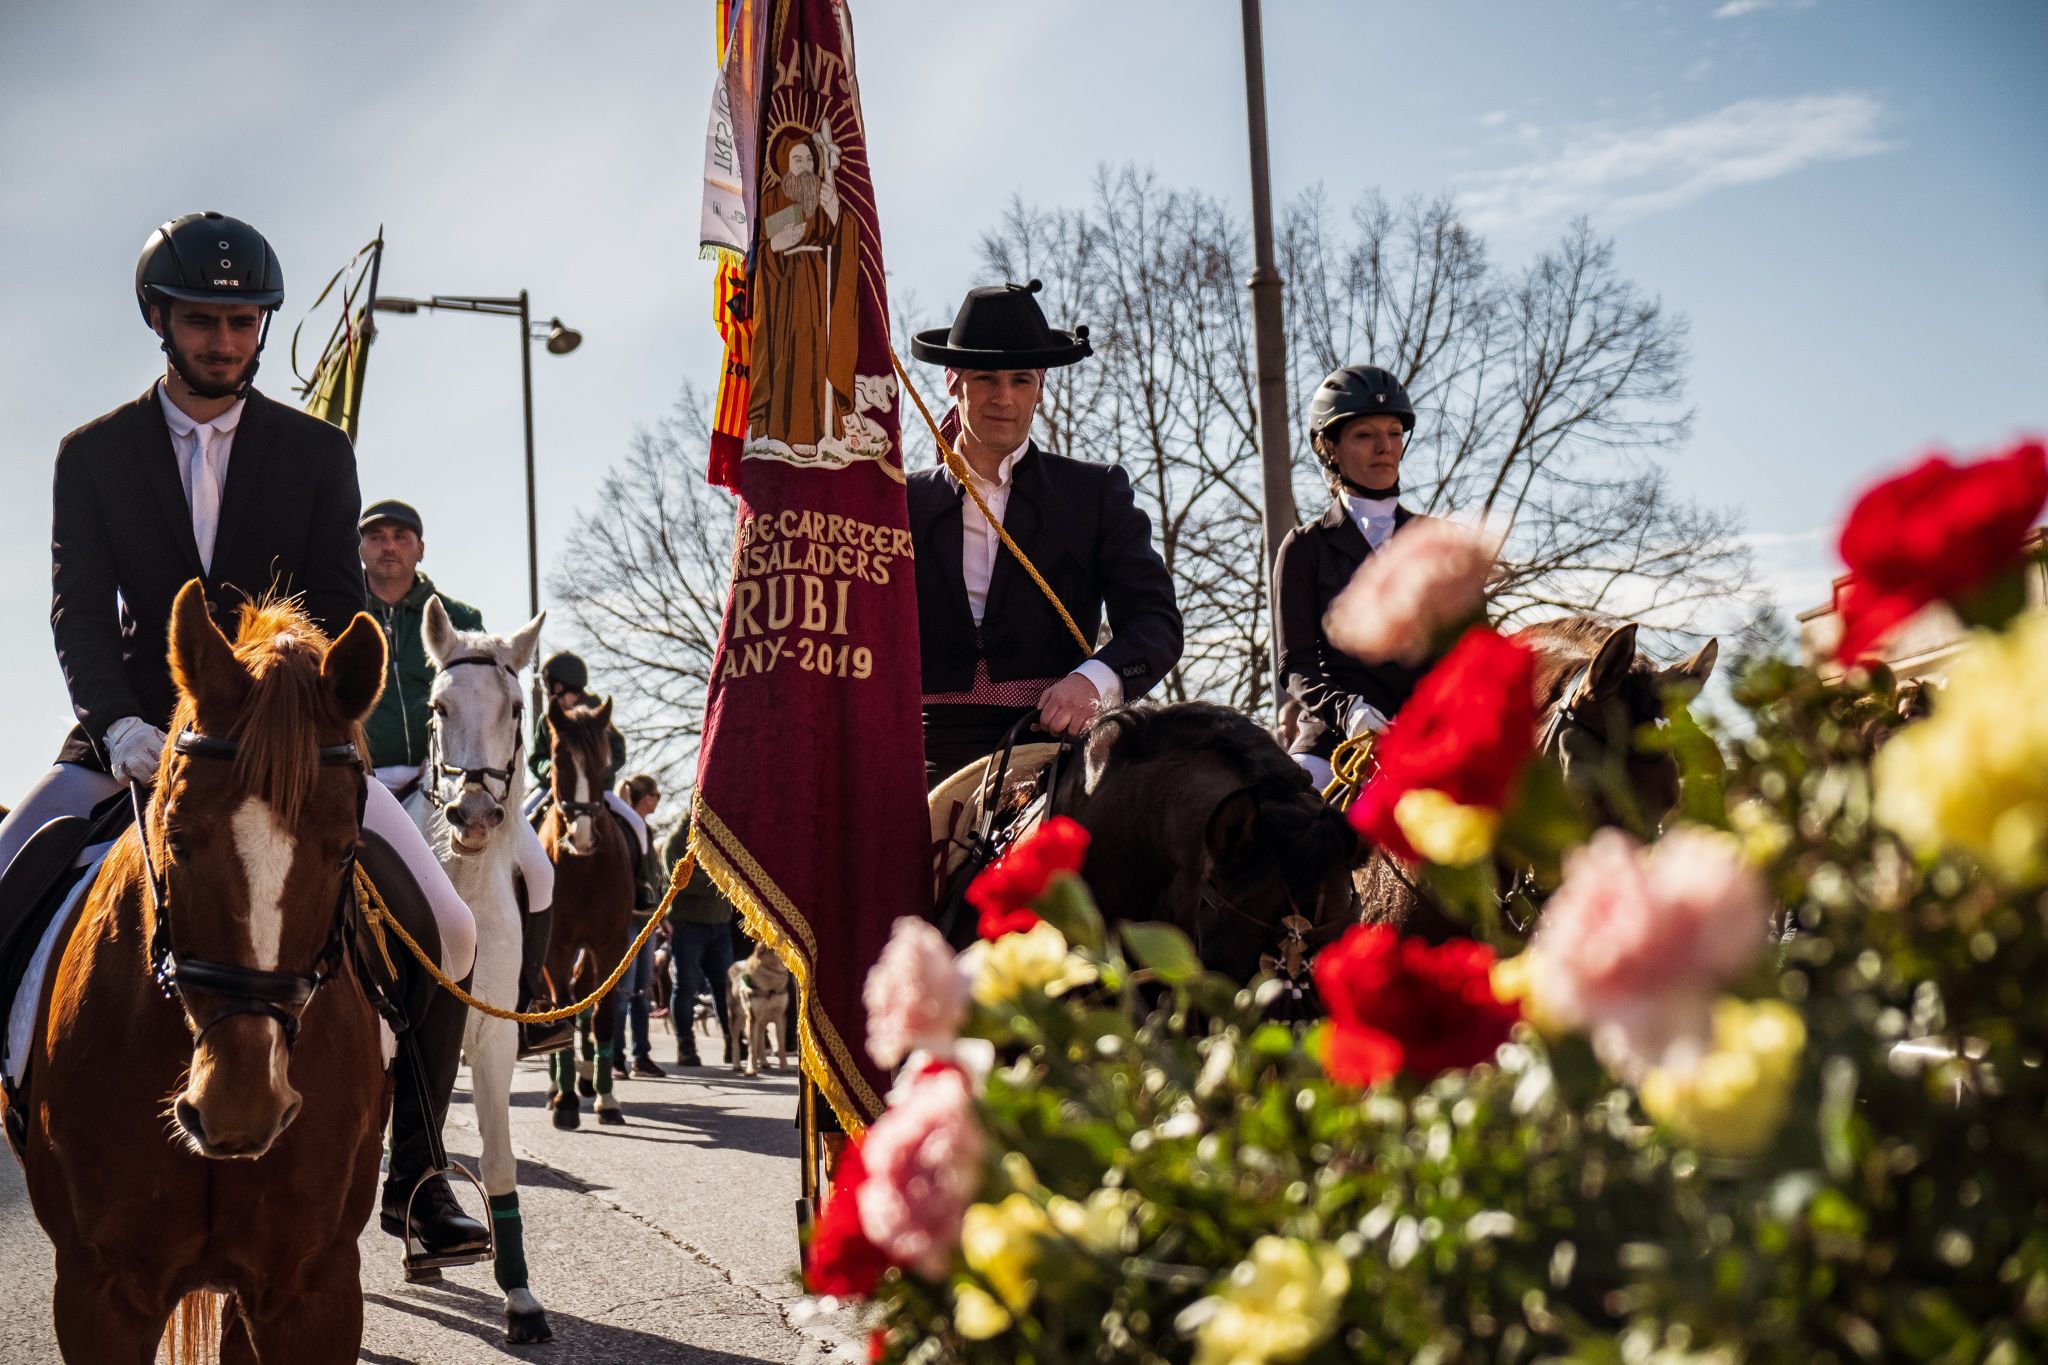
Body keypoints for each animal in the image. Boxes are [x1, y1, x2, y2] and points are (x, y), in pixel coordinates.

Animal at [729, 941, 790, 1080]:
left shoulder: (780, 1017)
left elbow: (781, 1045)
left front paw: (785, 1067)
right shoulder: (753, 1018)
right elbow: (751, 1048)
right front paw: (751, 1070)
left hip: (762, 1022)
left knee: (761, 1041)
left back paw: (764, 1063)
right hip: (738, 1020)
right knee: (735, 1042)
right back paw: (737, 1065)